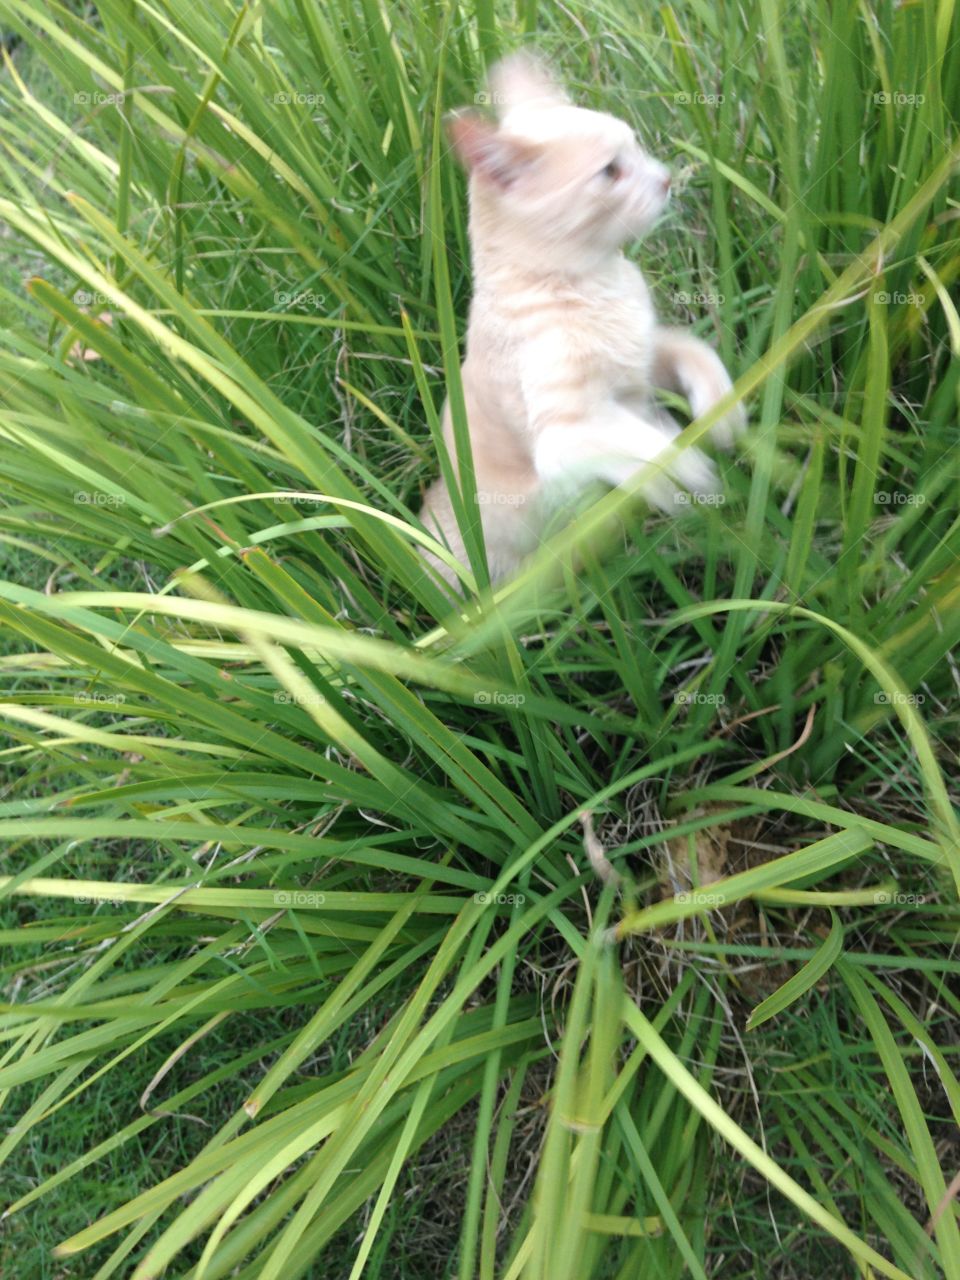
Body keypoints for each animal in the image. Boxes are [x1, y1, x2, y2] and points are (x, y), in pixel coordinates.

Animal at [419, 55, 742, 586]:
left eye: (636, 146)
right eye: (610, 171)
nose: (665, 178)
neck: (595, 280)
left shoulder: (645, 359)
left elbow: (696, 351)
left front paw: (722, 410)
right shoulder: (564, 436)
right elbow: (641, 443)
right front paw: (683, 467)